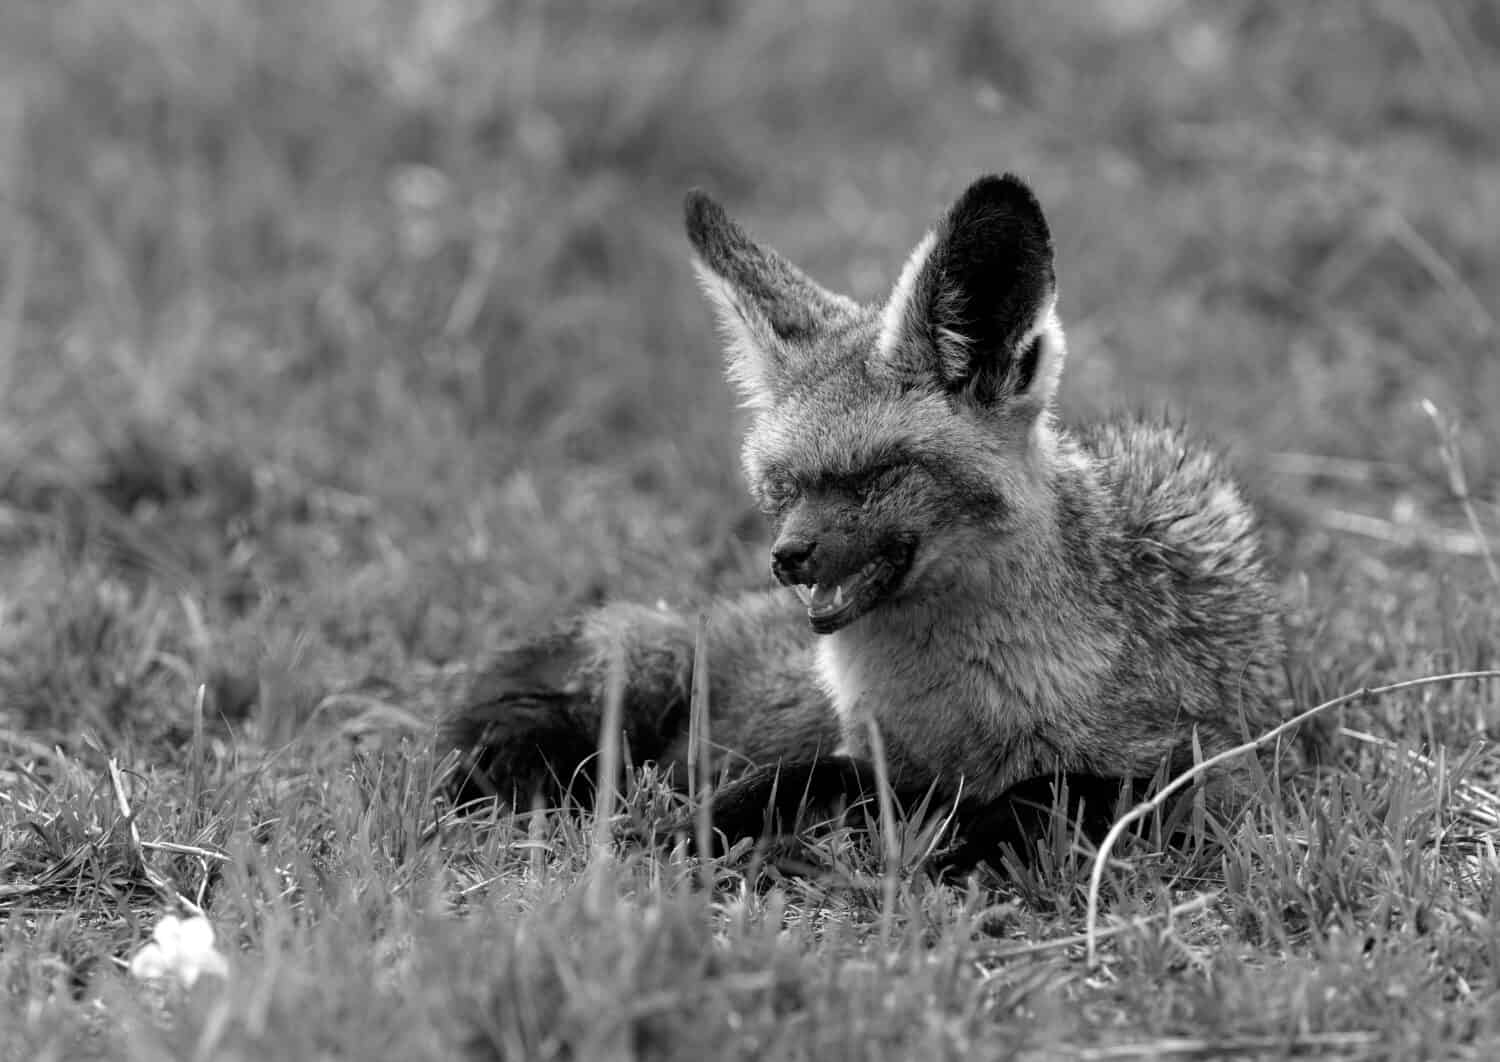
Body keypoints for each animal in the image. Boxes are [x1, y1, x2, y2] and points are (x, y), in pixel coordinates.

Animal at [441, 174, 1290, 870]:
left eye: (875, 475)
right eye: (781, 486)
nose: (788, 557)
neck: (959, 714)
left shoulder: (1214, 770)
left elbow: (1052, 794)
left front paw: (948, 858)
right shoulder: (876, 761)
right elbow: (791, 776)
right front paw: (695, 833)